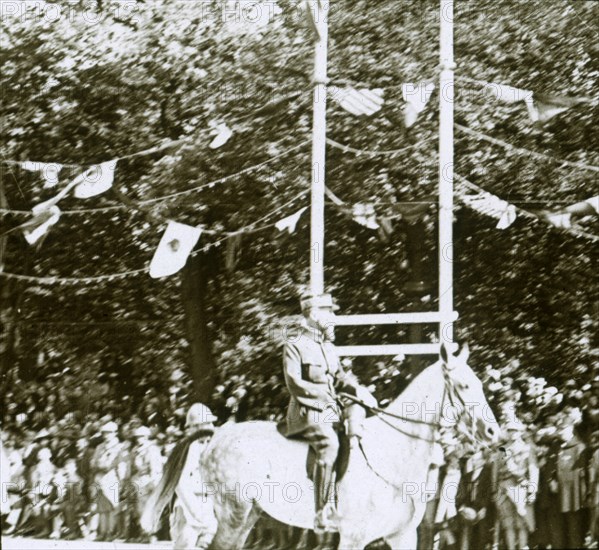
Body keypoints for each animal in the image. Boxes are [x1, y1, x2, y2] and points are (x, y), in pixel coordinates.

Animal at [199, 348, 500, 548]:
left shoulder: (401, 535)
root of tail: (217, 438)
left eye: (479, 383)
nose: (493, 432)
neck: (393, 454)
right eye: (464, 385)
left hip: (249, 516)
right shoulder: (354, 536)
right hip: (233, 516)